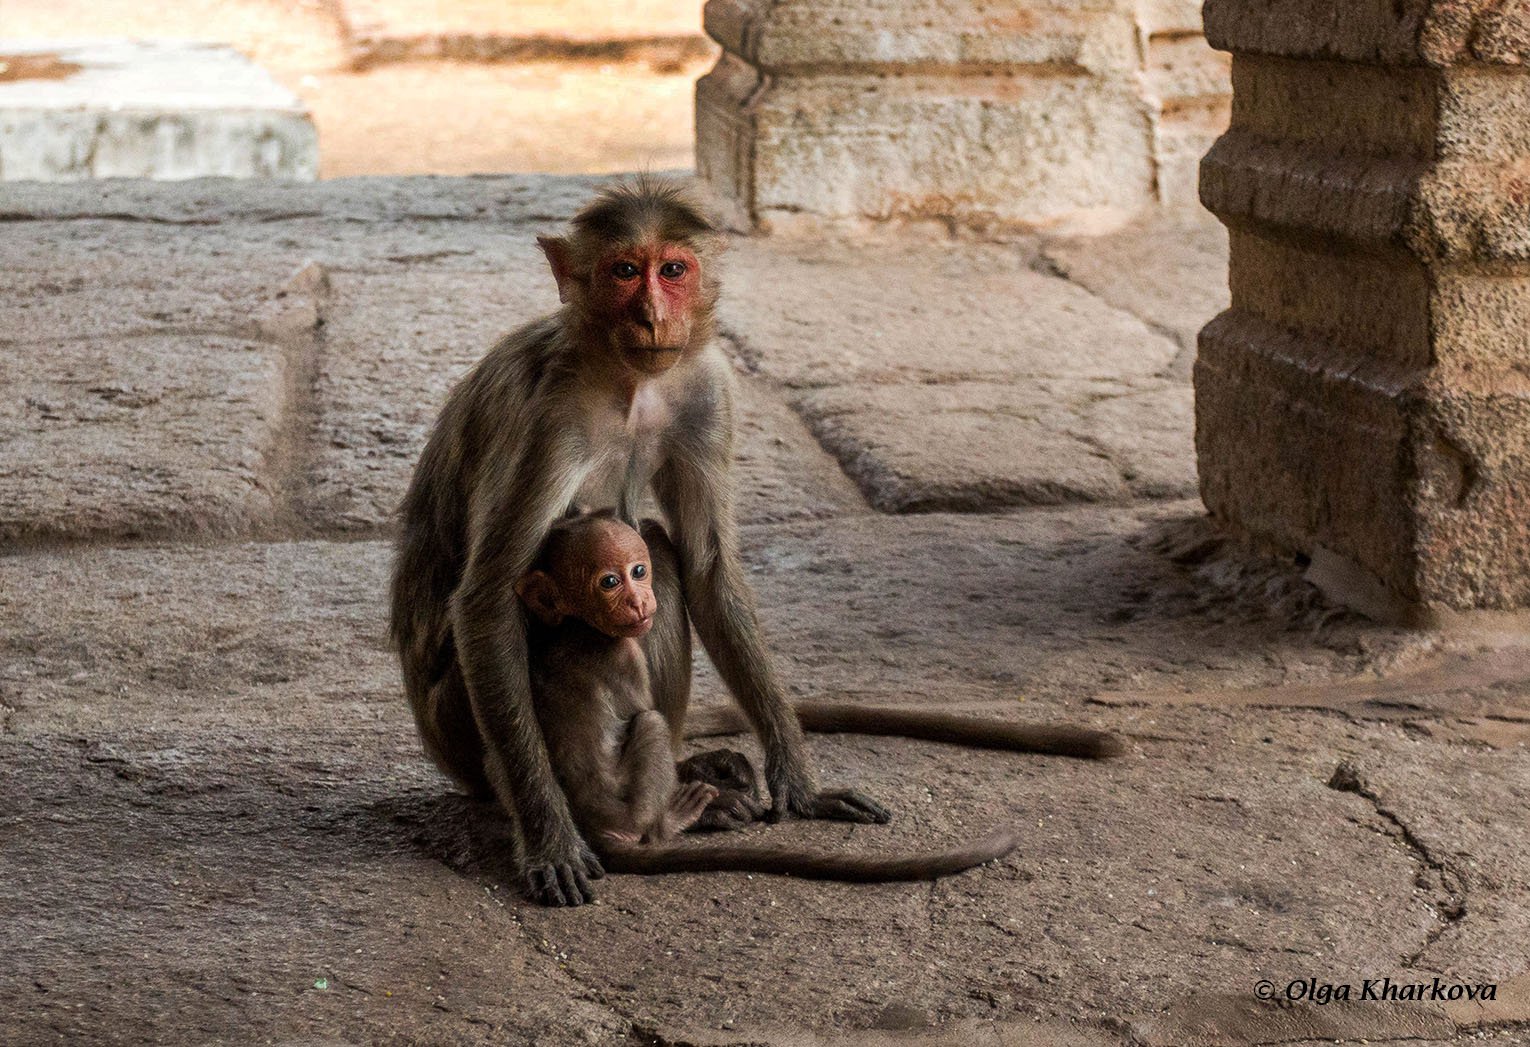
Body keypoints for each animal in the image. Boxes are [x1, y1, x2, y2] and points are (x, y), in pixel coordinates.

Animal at [394, 173, 893, 906]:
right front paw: (552, 837)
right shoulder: (548, 422)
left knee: (658, 548)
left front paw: (801, 784)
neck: (627, 378)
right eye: (625, 271)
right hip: (460, 733)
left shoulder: (709, 388)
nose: (655, 314)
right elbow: (487, 596)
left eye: (673, 270)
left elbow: (708, 565)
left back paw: (694, 776)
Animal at [514, 511, 1015, 893]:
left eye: (638, 572)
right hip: (628, 803)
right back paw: (672, 819)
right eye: (610, 581)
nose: (639, 601)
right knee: (652, 728)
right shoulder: (625, 653)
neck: (580, 625)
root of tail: (592, 822)